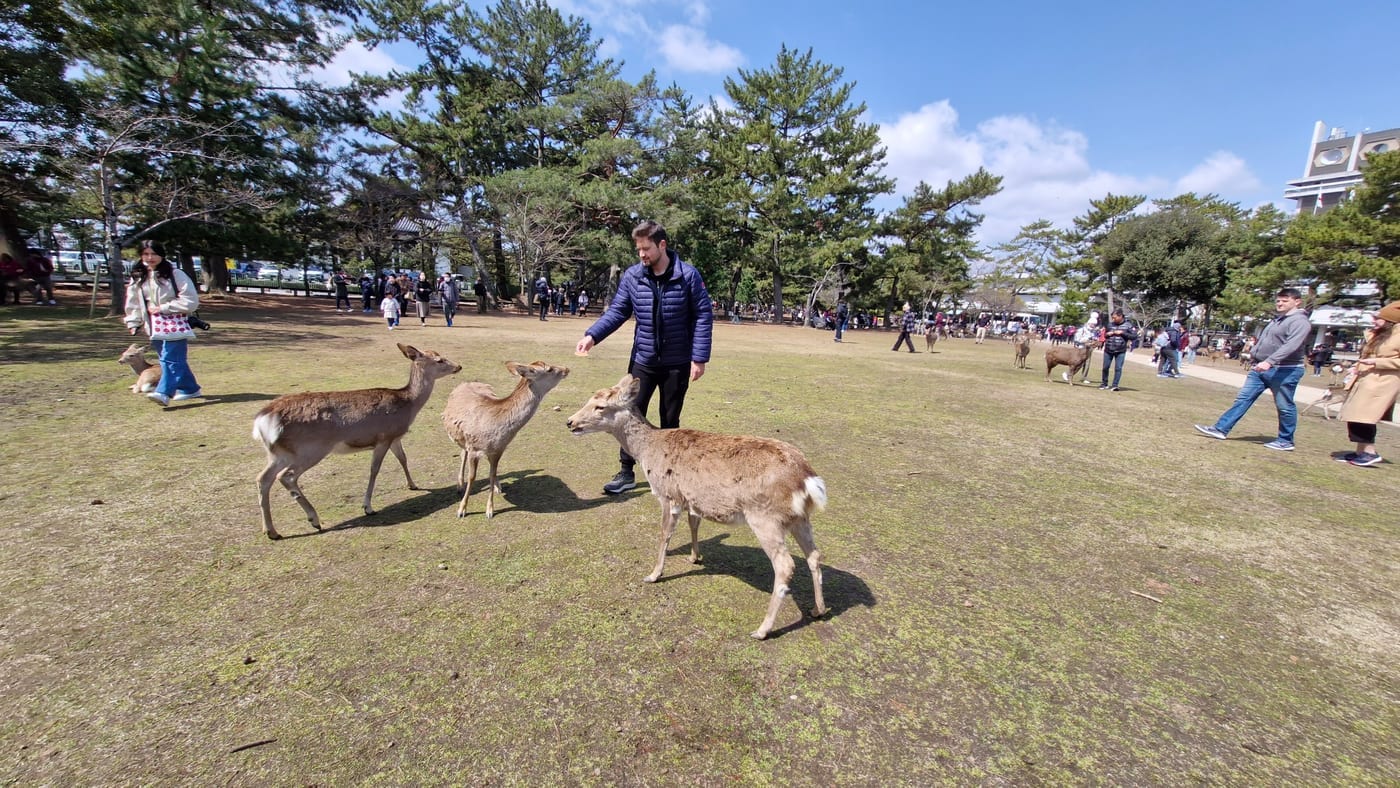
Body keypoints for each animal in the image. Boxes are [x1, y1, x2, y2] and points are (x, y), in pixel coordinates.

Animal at [252, 343, 461, 540]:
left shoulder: (395, 437)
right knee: (286, 476)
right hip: (311, 448)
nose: (458, 366)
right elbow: (374, 469)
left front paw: (413, 485)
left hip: (278, 453)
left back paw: (271, 531)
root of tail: (263, 419)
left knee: (263, 478)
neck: (408, 405)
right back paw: (314, 519)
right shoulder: (384, 436)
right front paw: (368, 507)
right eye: (440, 360)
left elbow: (403, 458)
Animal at [442, 360, 570, 519]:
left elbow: (492, 474)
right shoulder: (473, 448)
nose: (567, 369)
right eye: (550, 369)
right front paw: (461, 510)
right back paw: (460, 485)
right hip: (462, 438)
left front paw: (490, 510)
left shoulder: (499, 449)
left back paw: (498, 486)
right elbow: (472, 477)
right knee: (462, 453)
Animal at [566, 374, 826, 640]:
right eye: (590, 399)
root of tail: (807, 479)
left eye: (600, 406)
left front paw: (653, 575)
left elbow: (664, 535)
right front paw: (695, 557)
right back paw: (818, 610)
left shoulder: (669, 495)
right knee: (814, 555)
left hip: (765, 517)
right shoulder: (692, 499)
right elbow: (694, 524)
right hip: (799, 518)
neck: (648, 452)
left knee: (785, 565)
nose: (570, 422)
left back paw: (762, 630)